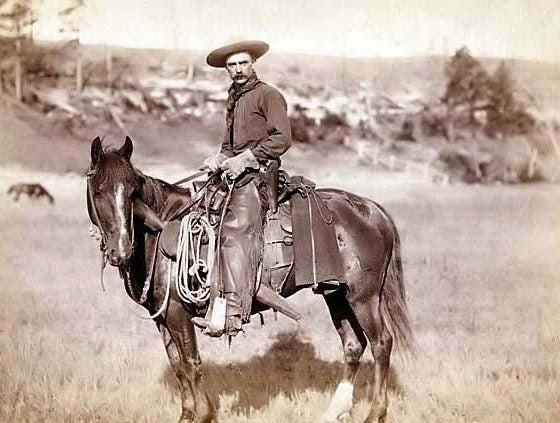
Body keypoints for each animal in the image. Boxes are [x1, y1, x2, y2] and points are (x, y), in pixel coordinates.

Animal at [86, 136, 412, 423]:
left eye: (132, 191)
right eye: (98, 191)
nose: (121, 250)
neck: (160, 230)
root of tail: (372, 211)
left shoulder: (178, 313)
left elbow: (191, 364)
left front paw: (203, 414)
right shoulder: (162, 316)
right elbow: (178, 366)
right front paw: (187, 414)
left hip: (363, 297)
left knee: (382, 343)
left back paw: (375, 413)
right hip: (336, 294)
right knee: (354, 345)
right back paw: (335, 411)